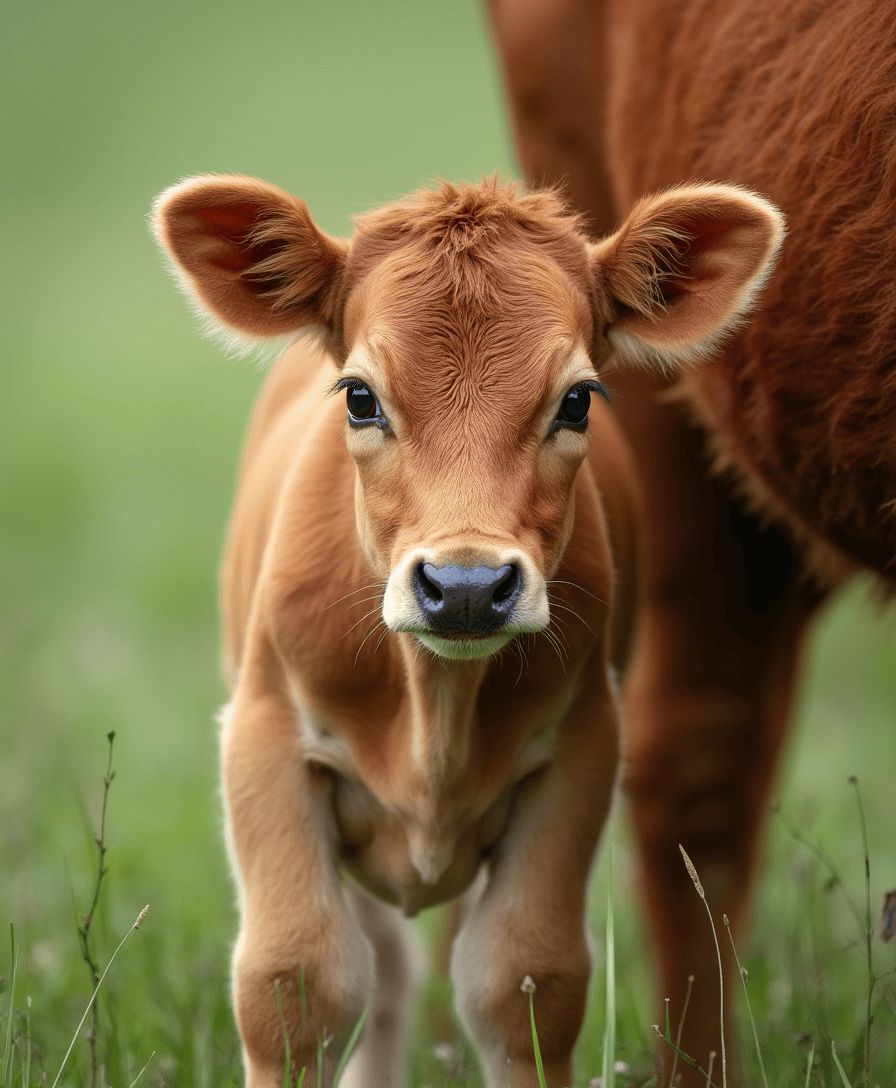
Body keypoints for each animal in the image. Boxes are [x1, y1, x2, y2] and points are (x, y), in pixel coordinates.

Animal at [152, 172, 783, 1087]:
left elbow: (524, 980)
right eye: (360, 396)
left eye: (577, 400)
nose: (466, 588)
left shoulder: (582, 747)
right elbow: (296, 981)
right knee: (380, 974)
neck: (434, 710)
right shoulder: (265, 737)